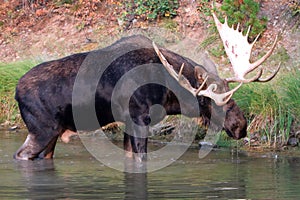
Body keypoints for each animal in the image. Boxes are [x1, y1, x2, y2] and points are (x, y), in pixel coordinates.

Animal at [12, 12, 278, 161]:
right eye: (213, 101)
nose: (241, 126)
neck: (168, 95)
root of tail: (15, 92)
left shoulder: (128, 123)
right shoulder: (140, 118)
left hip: (52, 134)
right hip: (42, 129)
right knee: (21, 155)